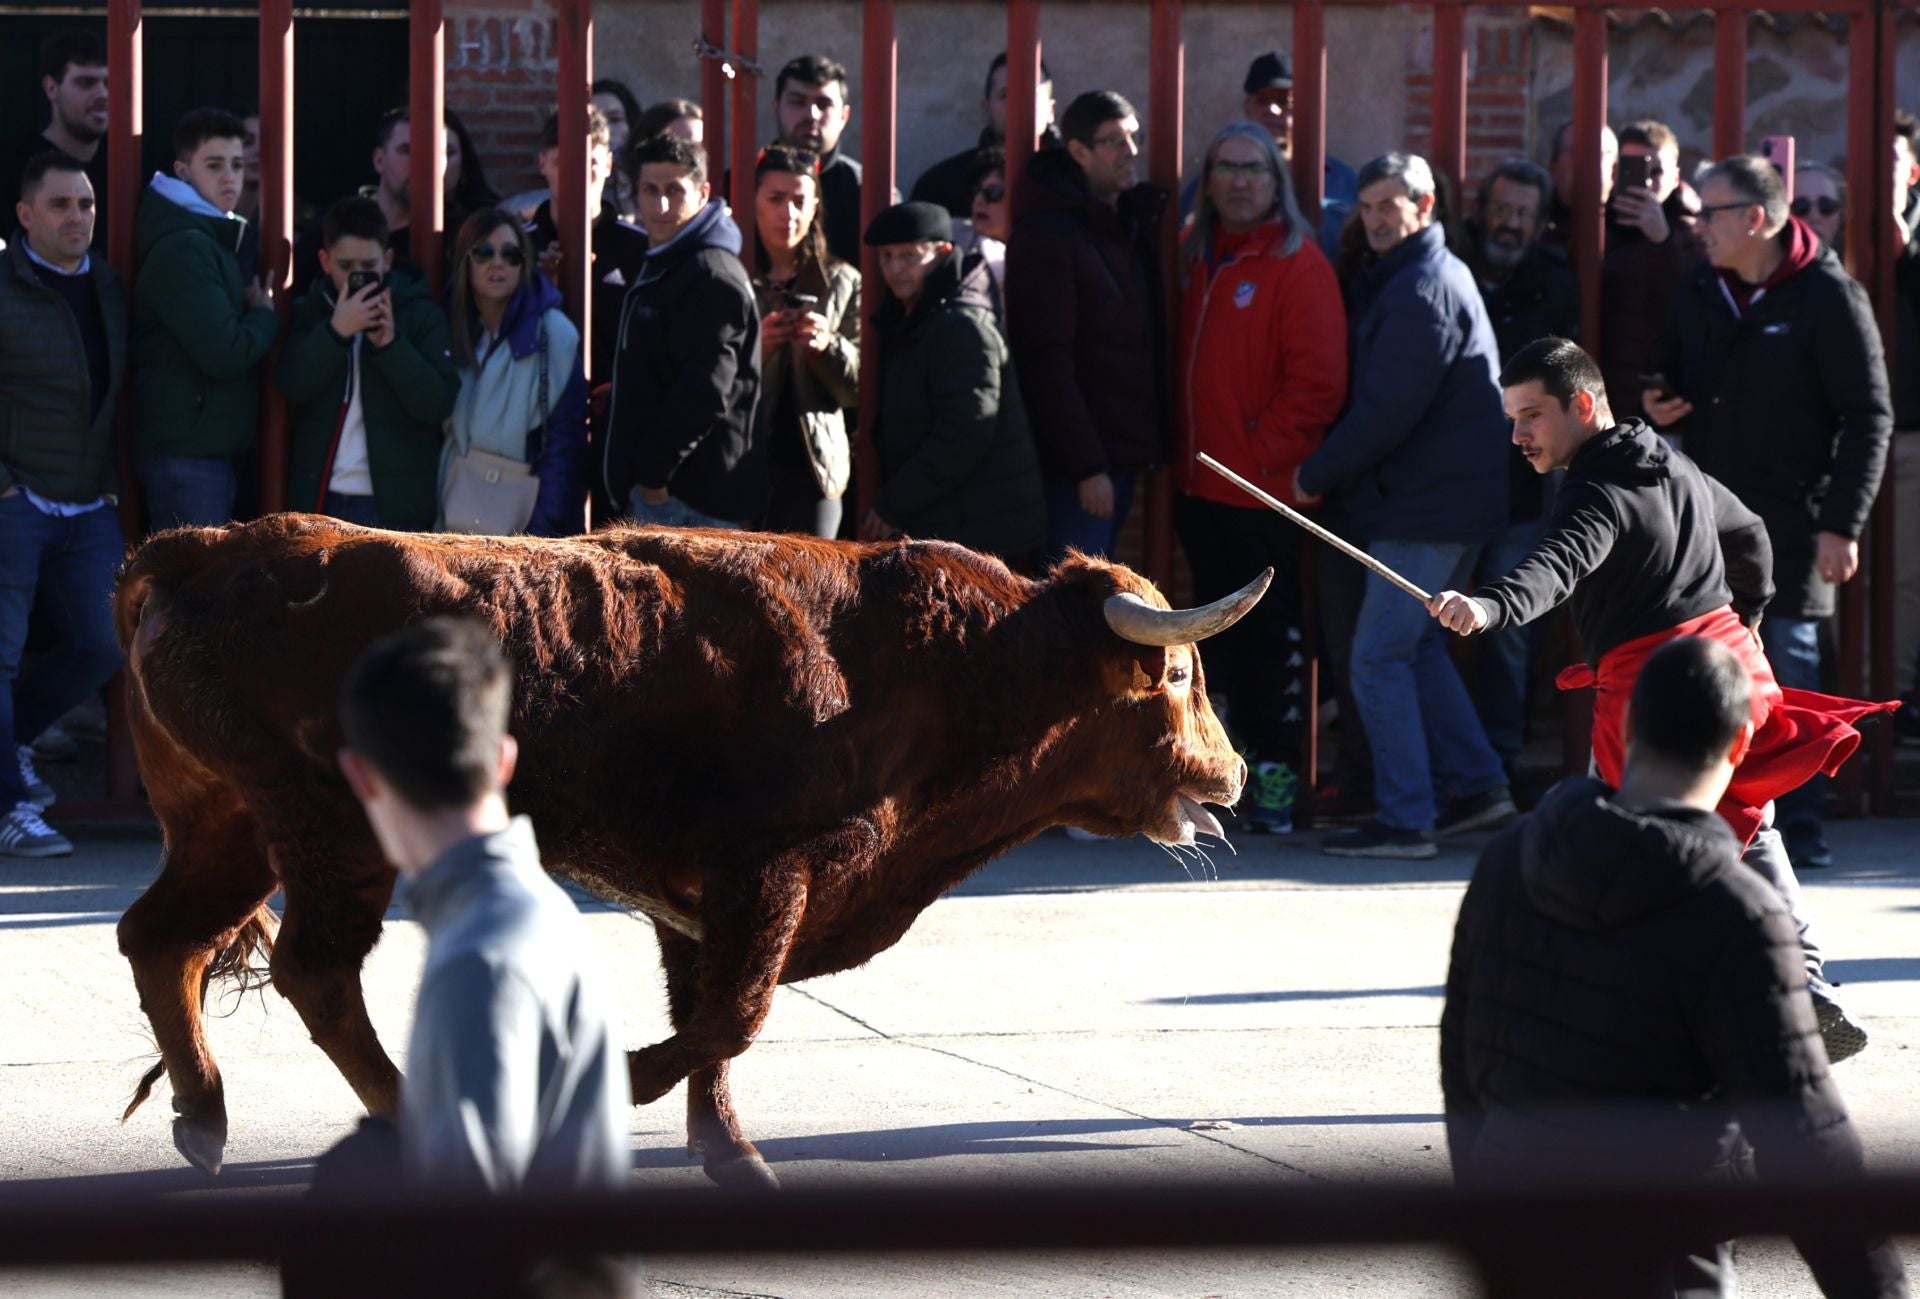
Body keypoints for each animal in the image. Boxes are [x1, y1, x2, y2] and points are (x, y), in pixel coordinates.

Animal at [116, 510, 1259, 1181]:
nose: (1238, 773)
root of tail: (207, 549)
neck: (927, 662)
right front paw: (626, 1090)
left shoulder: (697, 898)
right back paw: (400, 1119)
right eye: (1179, 676)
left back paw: (204, 1120)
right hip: (329, 836)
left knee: (161, 939)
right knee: (312, 973)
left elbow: (711, 1015)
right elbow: (731, 1015)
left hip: (230, 826)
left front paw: (731, 1155)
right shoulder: (772, 872)